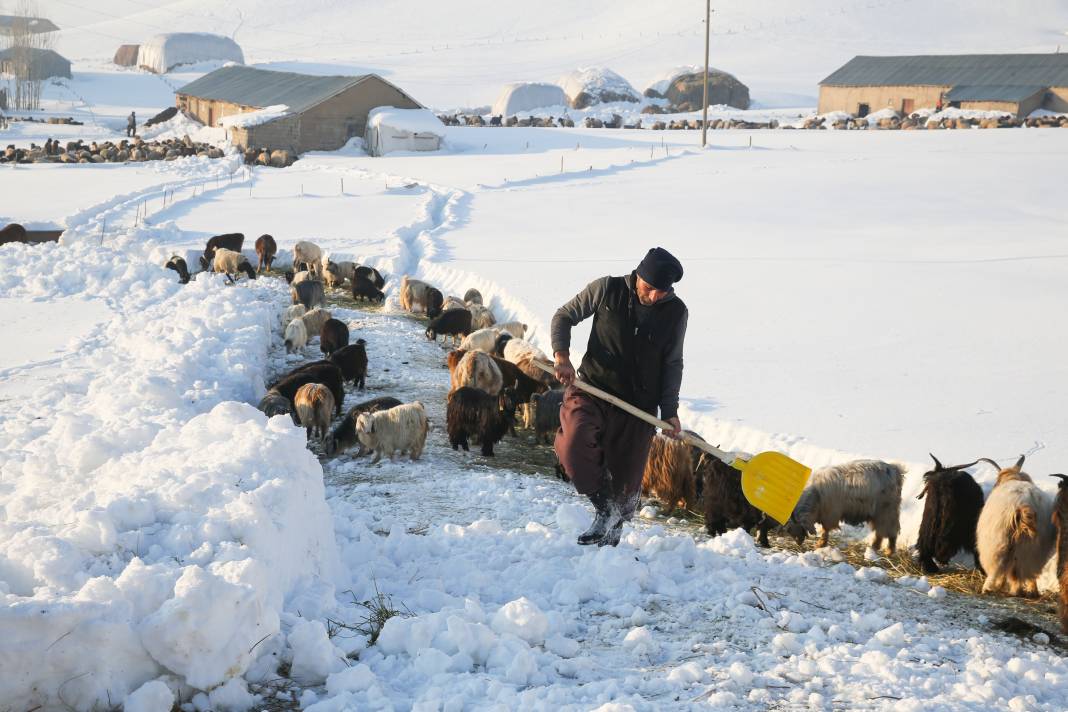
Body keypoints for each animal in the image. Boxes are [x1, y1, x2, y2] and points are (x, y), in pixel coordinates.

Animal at [978, 456, 1055, 597]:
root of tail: (1024, 504)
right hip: (1033, 549)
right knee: (1025, 571)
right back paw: (1031, 591)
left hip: (998, 545)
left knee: (1001, 569)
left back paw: (989, 588)